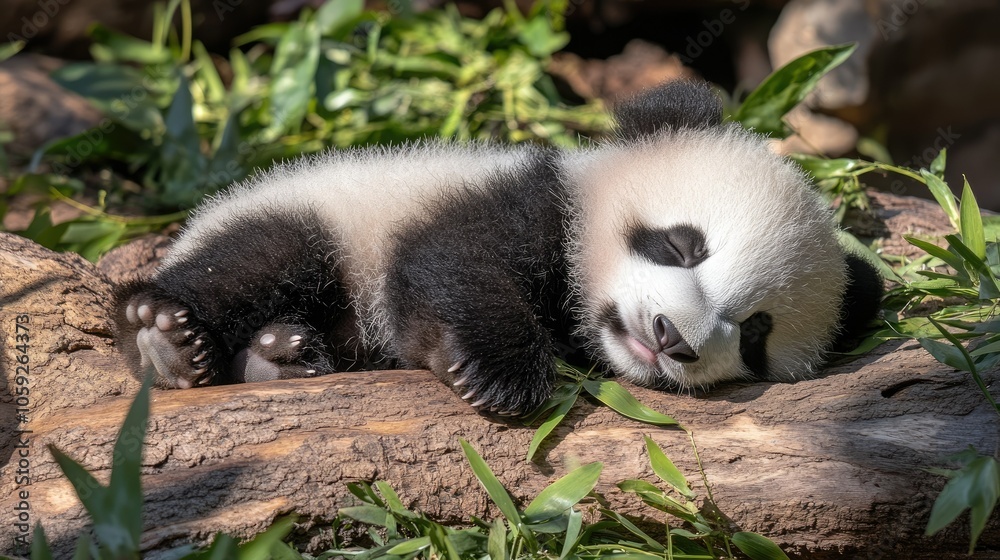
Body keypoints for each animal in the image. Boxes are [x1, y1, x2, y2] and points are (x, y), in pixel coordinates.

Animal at [113, 80, 883, 416]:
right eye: (681, 245)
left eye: (754, 334)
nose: (672, 337)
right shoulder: (500, 197)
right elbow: (455, 264)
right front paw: (498, 374)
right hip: (309, 208)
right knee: (260, 257)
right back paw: (167, 339)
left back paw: (280, 356)